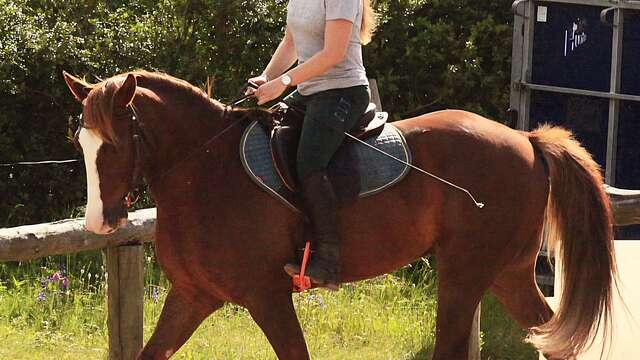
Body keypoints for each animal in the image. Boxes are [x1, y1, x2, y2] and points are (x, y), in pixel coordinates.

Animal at [63, 70, 616, 360]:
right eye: (81, 142)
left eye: (113, 144)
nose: (98, 224)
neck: (205, 171)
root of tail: (525, 139)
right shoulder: (192, 297)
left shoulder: (266, 297)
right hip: (507, 271)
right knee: (553, 338)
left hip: (466, 271)